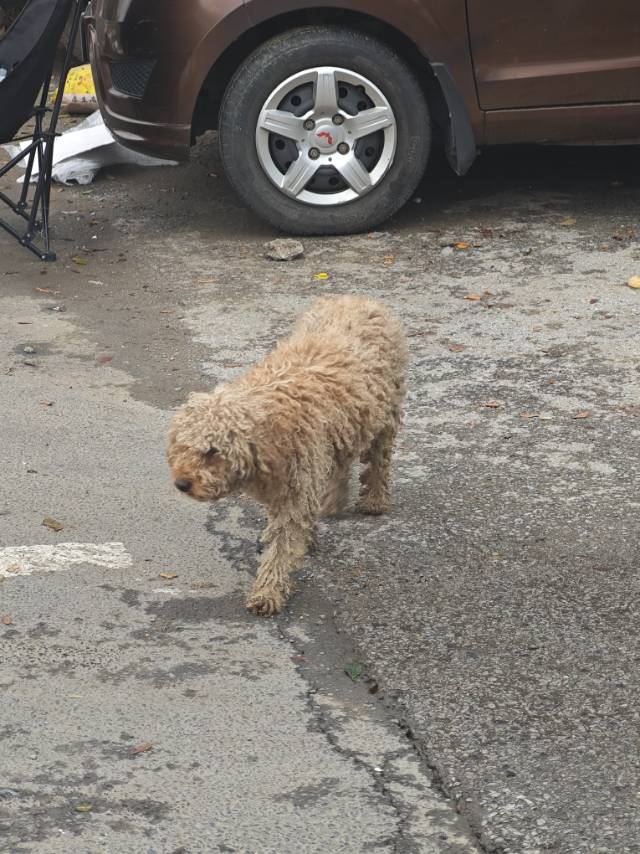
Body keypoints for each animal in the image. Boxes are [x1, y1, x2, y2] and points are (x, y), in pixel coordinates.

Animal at [168, 294, 408, 616]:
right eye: (183, 446)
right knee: (340, 465)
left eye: (211, 451)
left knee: (379, 461)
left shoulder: (296, 486)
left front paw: (267, 592)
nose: (182, 483)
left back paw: (375, 500)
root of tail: (357, 298)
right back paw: (332, 502)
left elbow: (283, 544)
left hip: (385, 415)